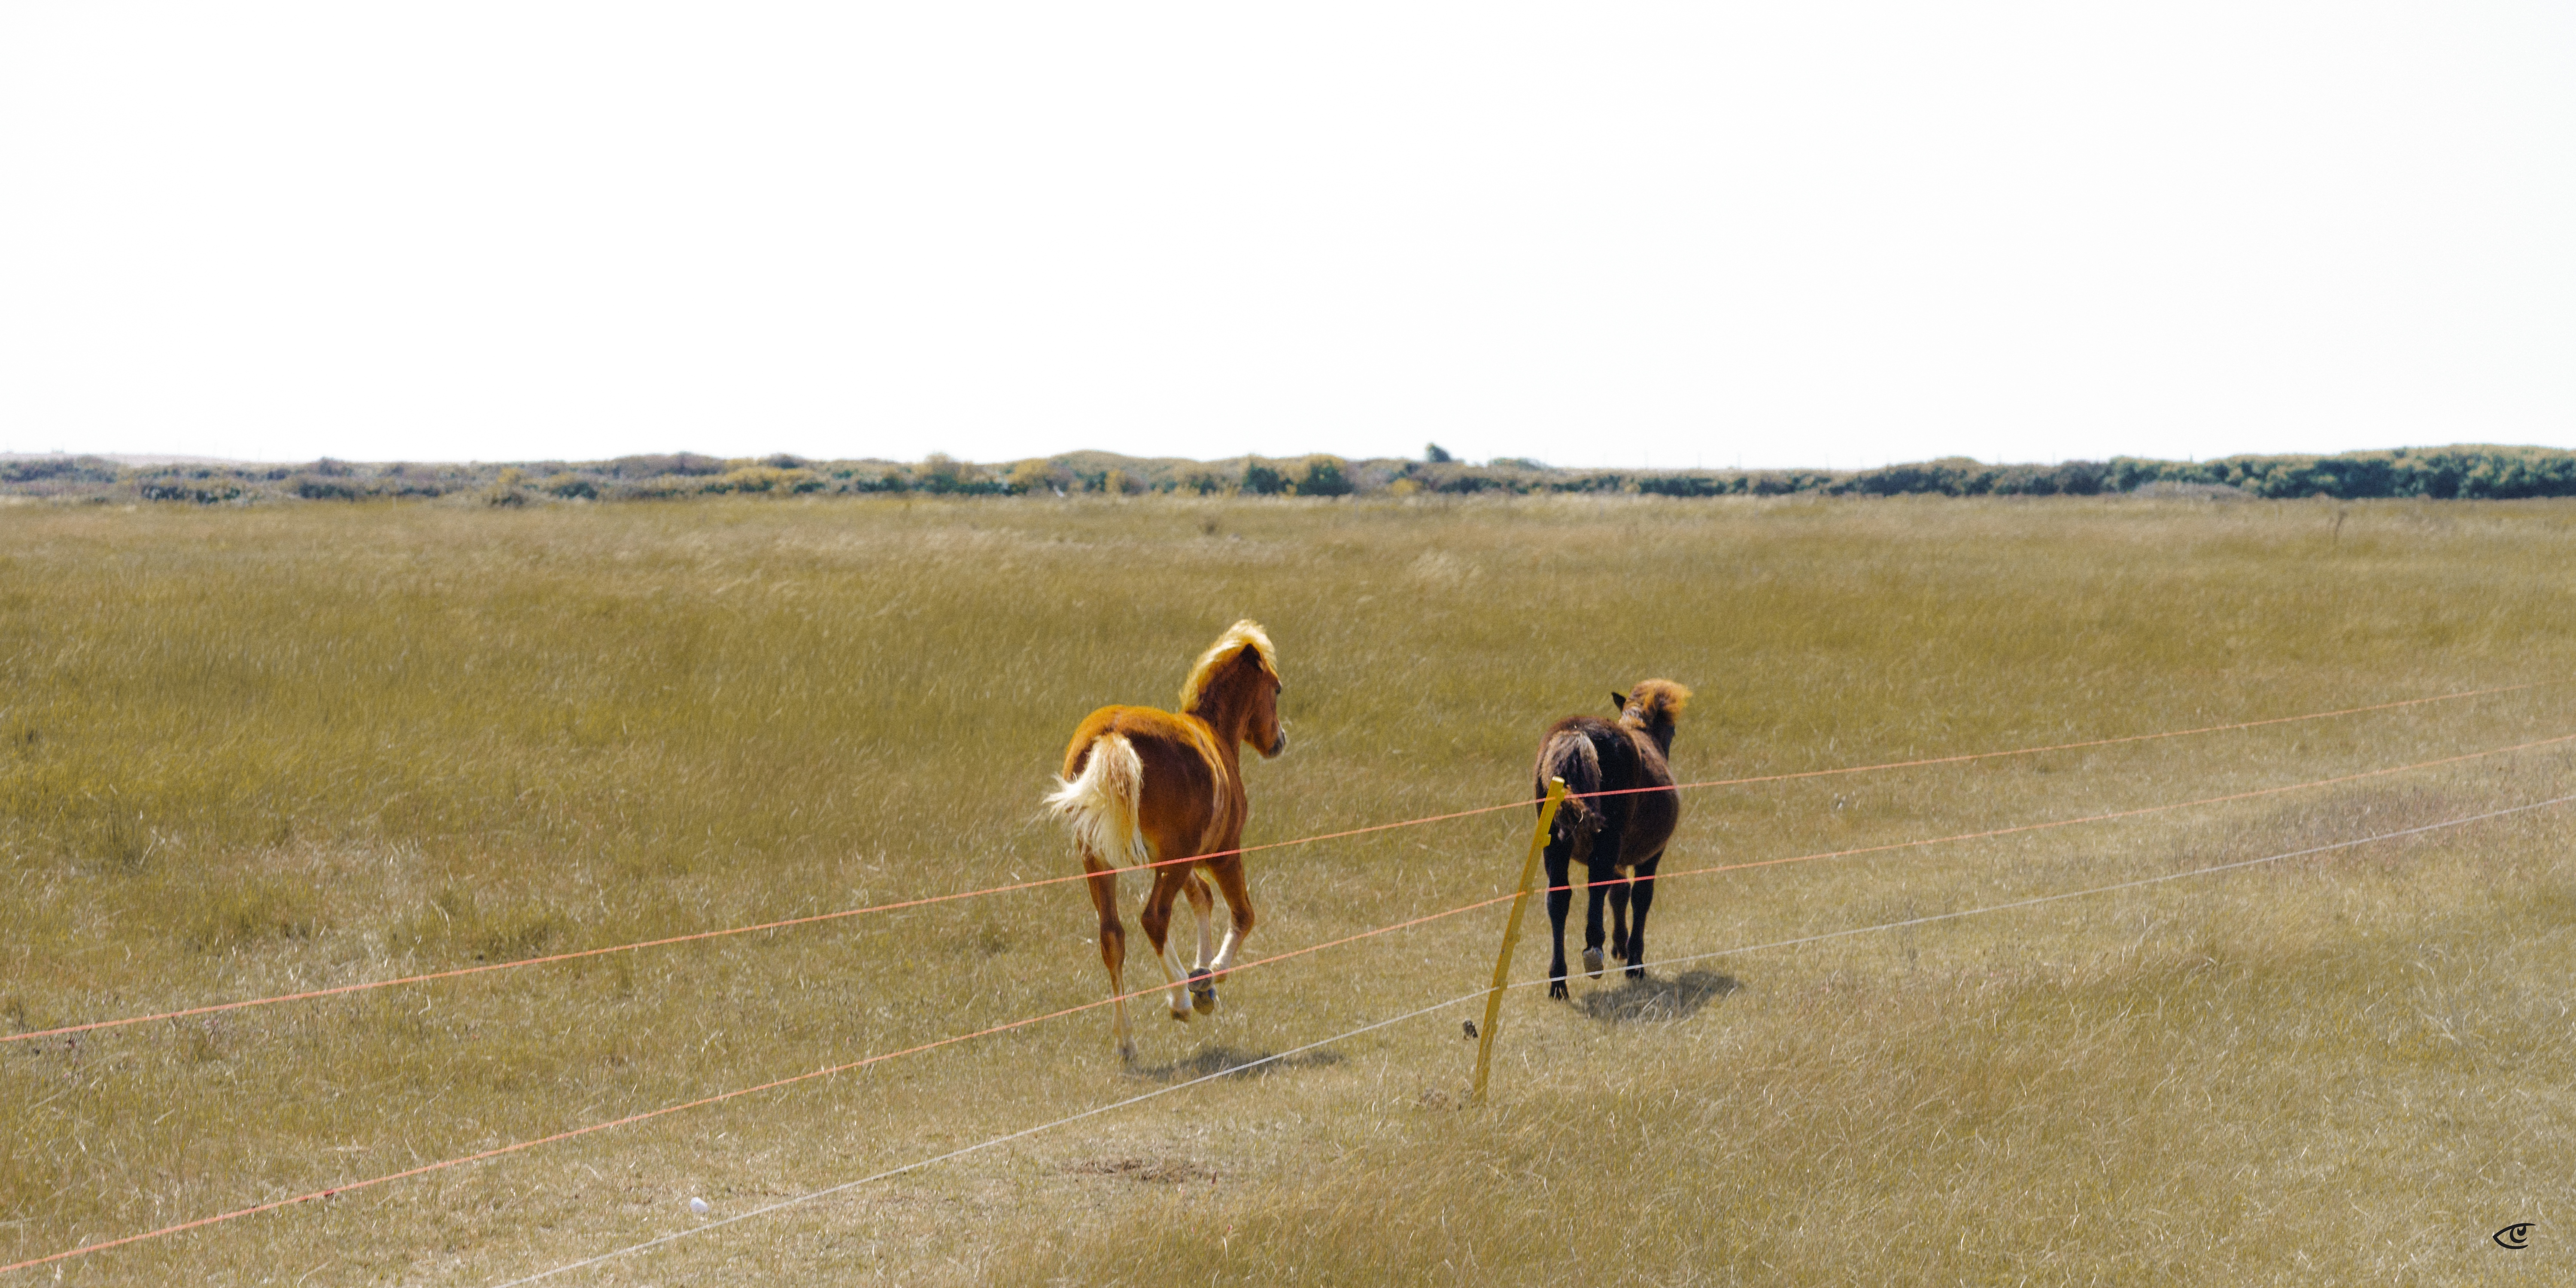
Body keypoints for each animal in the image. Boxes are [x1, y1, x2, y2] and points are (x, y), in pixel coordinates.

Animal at [1046, 621, 1286, 1060]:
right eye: (1276, 689)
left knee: (1112, 935)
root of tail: (1114, 734)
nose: (1279, 741)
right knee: (1154, 919)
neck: (1213, 732)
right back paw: (1181, 1001)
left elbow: (1203, 899)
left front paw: (1202, 974)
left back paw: (1127, 1040)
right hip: (1173, 860)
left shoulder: (1173, 861)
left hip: (1098, 861)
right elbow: (1242, 914)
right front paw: (1208, 979)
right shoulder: (1222, 855)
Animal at [1530, 679, 1691, 999]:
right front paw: (1634, 961)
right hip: (1606, 837)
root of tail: (1578, 734)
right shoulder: (1651, 855)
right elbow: (1640, 896)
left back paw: (1559, 979)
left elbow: (1620, 891)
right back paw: (1594, 951)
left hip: (1554, 840)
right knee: (1597, 883)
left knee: (1559, 896)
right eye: (1673, 731)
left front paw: (1621, 946)